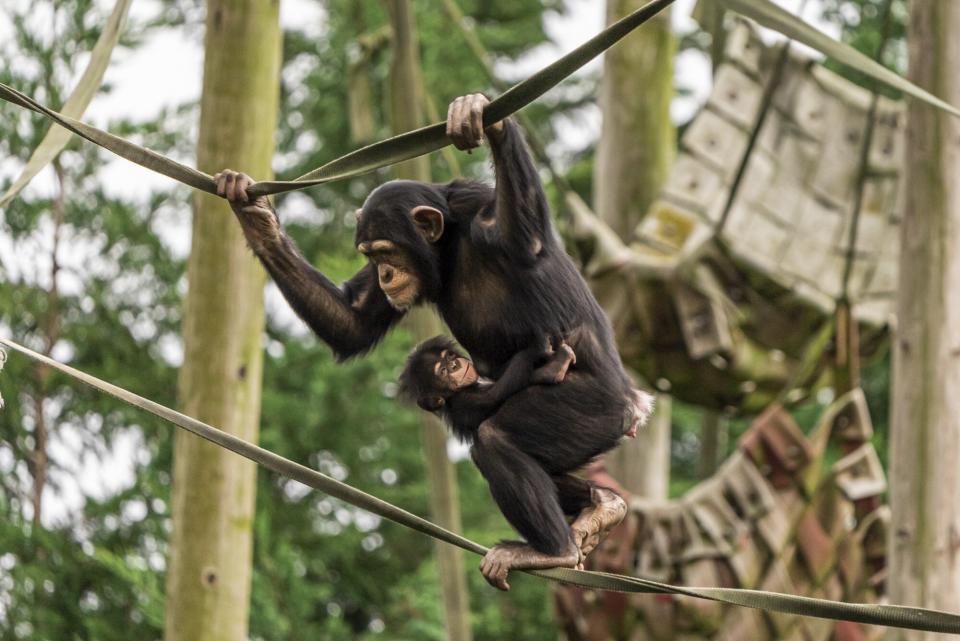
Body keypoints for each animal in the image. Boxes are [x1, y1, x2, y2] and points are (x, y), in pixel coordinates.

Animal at [402, 336, 572, 440]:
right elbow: (494, 395)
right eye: (443, 371)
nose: (453, 364)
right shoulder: (464, 401)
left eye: (449, 356)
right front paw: (540, 352)